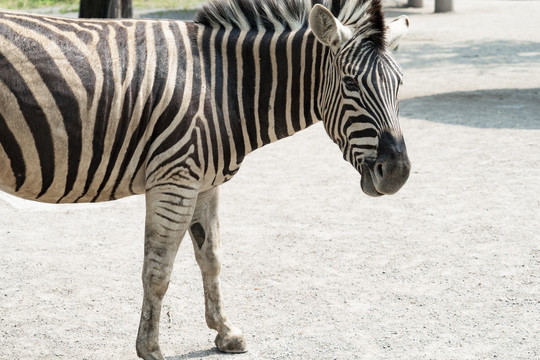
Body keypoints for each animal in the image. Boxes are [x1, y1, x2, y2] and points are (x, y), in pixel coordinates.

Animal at [0, 0, 412, 358]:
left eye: (400, 84)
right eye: (350, 83)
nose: (398, 173)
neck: (224, 87)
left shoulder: (204, 182)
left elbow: (211, 257)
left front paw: (225, 332)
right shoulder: (175, 180)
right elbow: (158, 271)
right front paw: (151, 349)